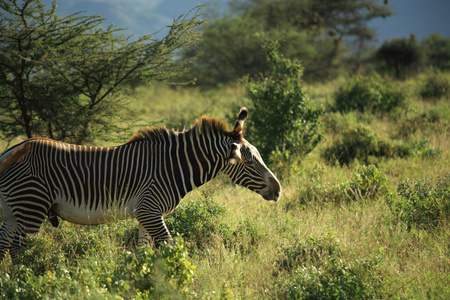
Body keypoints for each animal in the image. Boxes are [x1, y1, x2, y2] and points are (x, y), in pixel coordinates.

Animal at [0, 107, 282, 262]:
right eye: (249, 163)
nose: (279, 190)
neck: (173, 166)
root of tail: (12, 151)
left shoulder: (145, 215)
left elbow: (143, 252)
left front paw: (139, 279)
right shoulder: (149, 209)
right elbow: (170, 247)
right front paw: (177, 278)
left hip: (13, 210)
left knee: (4, 245)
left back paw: (11, 283)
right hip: (32, 206)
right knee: (18, 250)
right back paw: (25, 281)